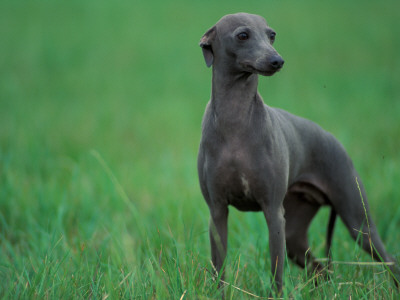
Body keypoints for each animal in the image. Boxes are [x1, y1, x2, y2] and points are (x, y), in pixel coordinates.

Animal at [196, 12, 396, 292]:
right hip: (296, 235)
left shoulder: (273, 213)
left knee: (389, 260)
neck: (235, 121)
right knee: (322, 270)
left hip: (359, 222)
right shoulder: (217, 212)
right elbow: (219, 272)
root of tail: (333, 139)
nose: (277, 60)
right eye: (242, 35)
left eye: (271, 35)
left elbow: (276, 275)